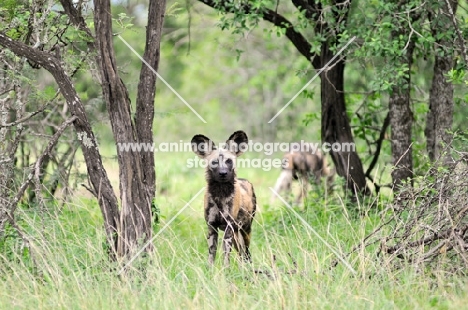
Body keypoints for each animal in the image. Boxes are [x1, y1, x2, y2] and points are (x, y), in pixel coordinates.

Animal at [190, 131, 256, 266]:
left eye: (228, 161)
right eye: (214, 162)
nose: (223, 173)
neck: (220, 195)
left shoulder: (228, 228)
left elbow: (226, 256)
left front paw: (226, 269)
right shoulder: (212, 227)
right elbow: (211, 254)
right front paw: (210, 269)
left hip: (246, 230)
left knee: (246, 252)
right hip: (236, 234)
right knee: (240, 252)